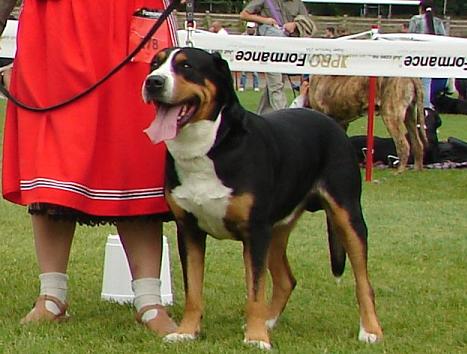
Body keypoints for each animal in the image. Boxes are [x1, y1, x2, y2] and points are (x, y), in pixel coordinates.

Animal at [143, 47, 384, 348]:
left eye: (186, 66)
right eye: (154, 63)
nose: (153, 82)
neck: (209, 147)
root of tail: (329, 121)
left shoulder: (255, 231)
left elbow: (255, 290)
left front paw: (256, 337)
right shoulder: (189, 230)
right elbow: (194, 291)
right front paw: (186, 332)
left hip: (347, 215)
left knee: (364, 282)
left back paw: (371, 330)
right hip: (278, 228)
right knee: (286, 280)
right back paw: (270, 321)